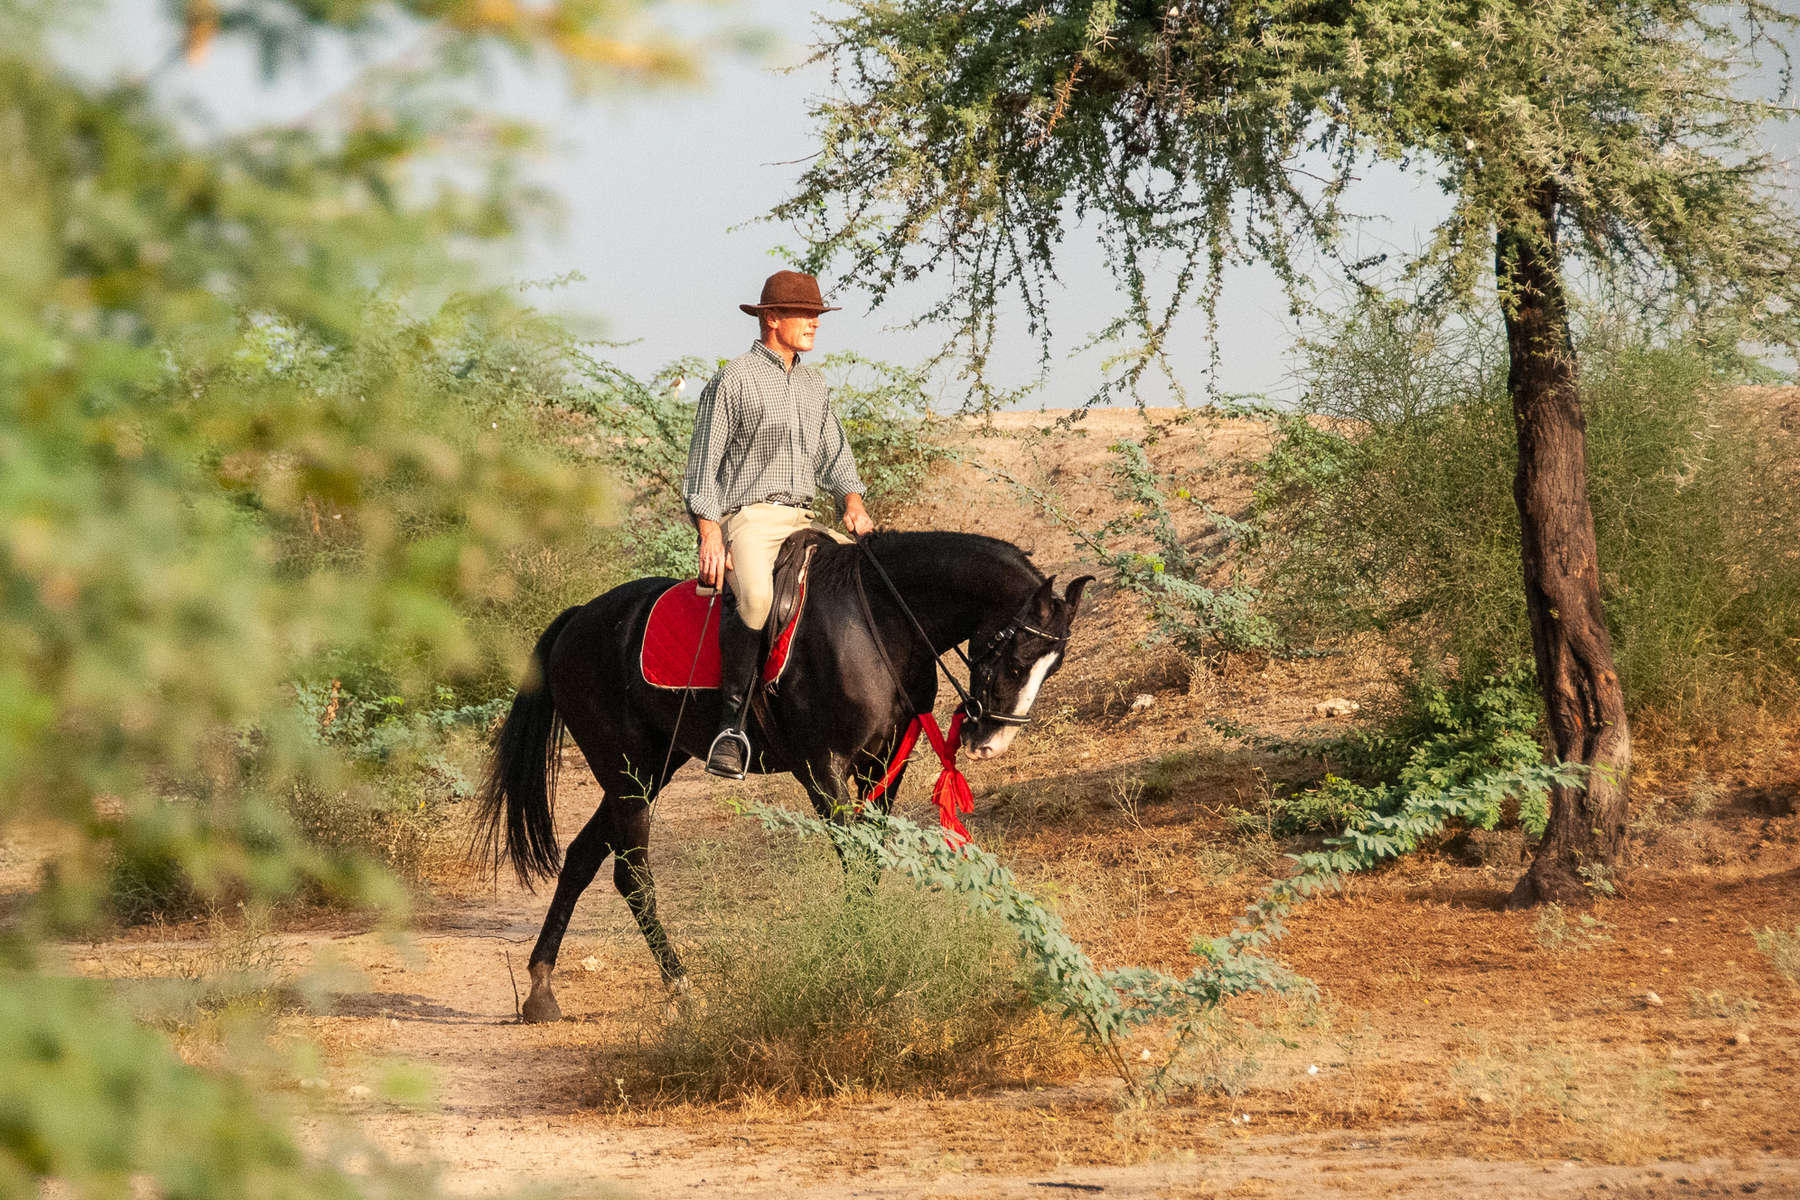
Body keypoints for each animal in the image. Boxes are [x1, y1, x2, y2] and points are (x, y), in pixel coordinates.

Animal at [478, 532, 1087, 1021]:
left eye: (1052, 666)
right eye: (1017, 659)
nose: (992, 742)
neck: (878, 622)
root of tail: (579, 618)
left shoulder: (884, 767)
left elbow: (871, 863)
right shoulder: (823, 768)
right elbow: (856, 861)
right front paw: (857, 957)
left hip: (649, 769)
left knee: (583, 858)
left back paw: (541, 989)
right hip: (629, 776)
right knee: (632, 878)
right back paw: (681, 989)